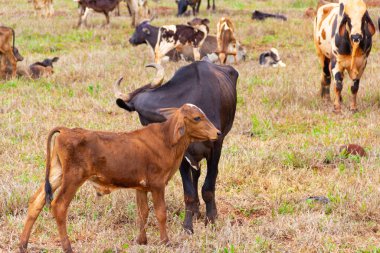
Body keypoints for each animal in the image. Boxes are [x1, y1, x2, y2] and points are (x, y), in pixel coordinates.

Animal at [19, 103, 221, 253]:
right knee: (59, 206)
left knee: (36, 201)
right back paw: (67, 247)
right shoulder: (157, 185)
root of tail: (66, 130)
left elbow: (143, 212)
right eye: (197, 117)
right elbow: (160, 213)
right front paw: (166, 241)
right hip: (73, 177)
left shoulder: (141, 187)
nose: (218, 133)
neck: (166, 140)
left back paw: (23, 244)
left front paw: (142, 240)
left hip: (57, 173)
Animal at [113, 59, 238, 233]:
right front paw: (187, 226)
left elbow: (208, 187)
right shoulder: (183, 156)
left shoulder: (216, 147)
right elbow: (189, 193)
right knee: (196, 175)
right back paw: (196, 212)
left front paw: (211, 220)